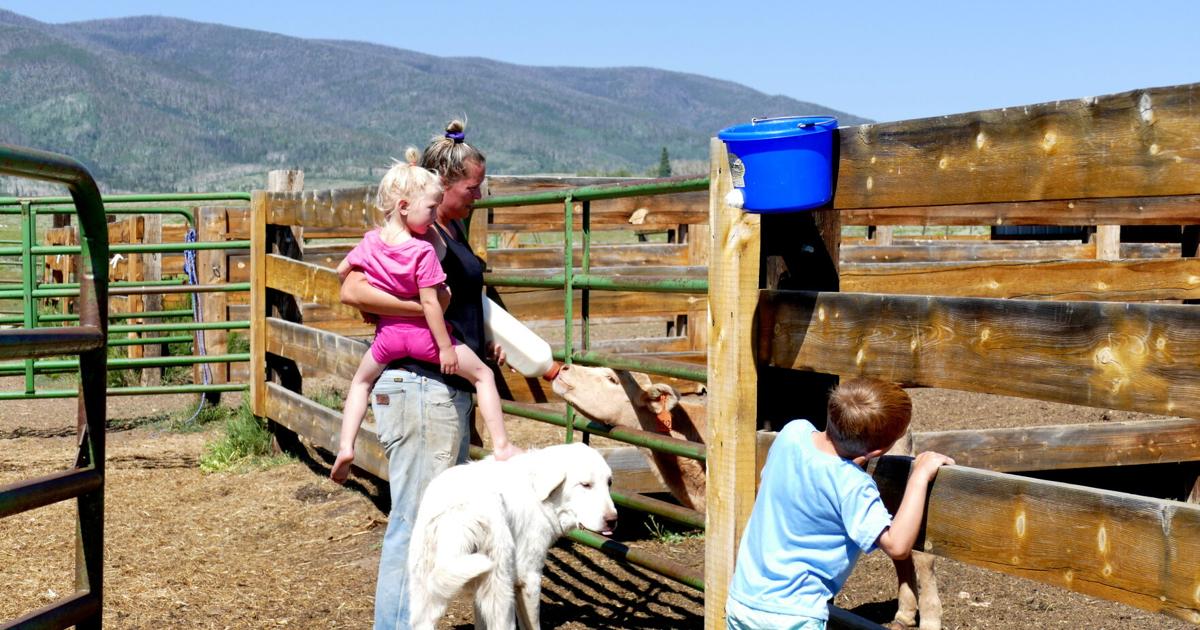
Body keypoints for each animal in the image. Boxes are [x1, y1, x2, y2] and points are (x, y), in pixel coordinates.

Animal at [410, 439, 619, 624]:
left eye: (609, 483)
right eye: (585, 485)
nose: (613, 521)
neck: (539, 491)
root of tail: (457, 513)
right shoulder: (530, 580)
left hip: (427, 597)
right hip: (502, 593)